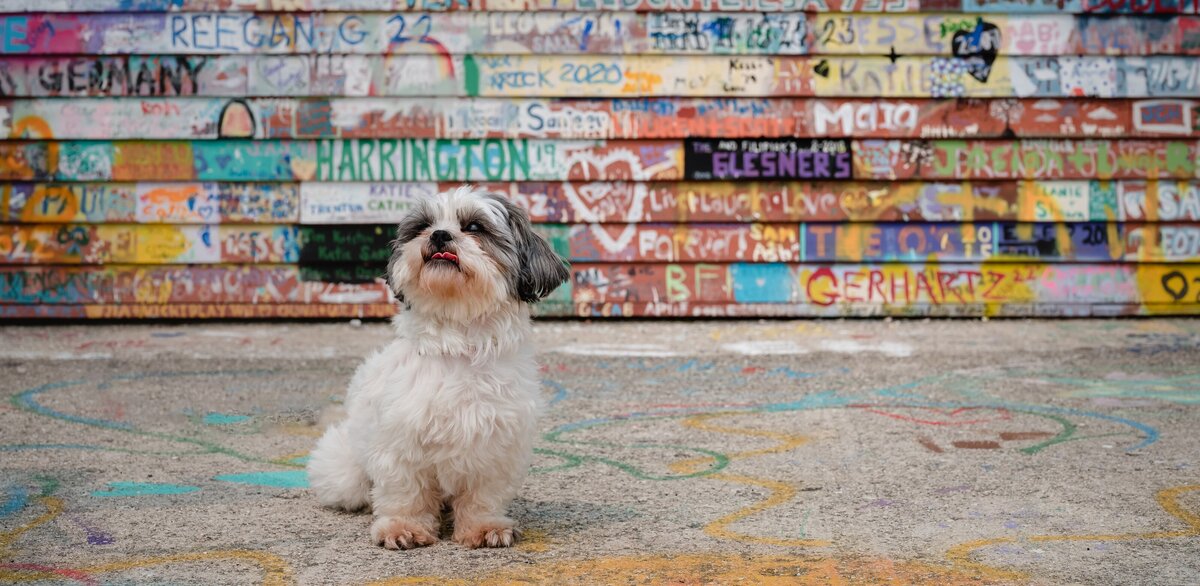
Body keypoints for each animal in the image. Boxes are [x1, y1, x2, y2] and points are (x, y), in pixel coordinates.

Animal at [309, 186, 571, 549]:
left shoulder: (495, 443)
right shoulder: (400, 440)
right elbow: (406, 492)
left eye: (474, 227)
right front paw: (402, 527)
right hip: (344, 473)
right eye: (423, 226)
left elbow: (483, 495)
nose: (439, 234)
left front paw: (483, 526)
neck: (457, 342)